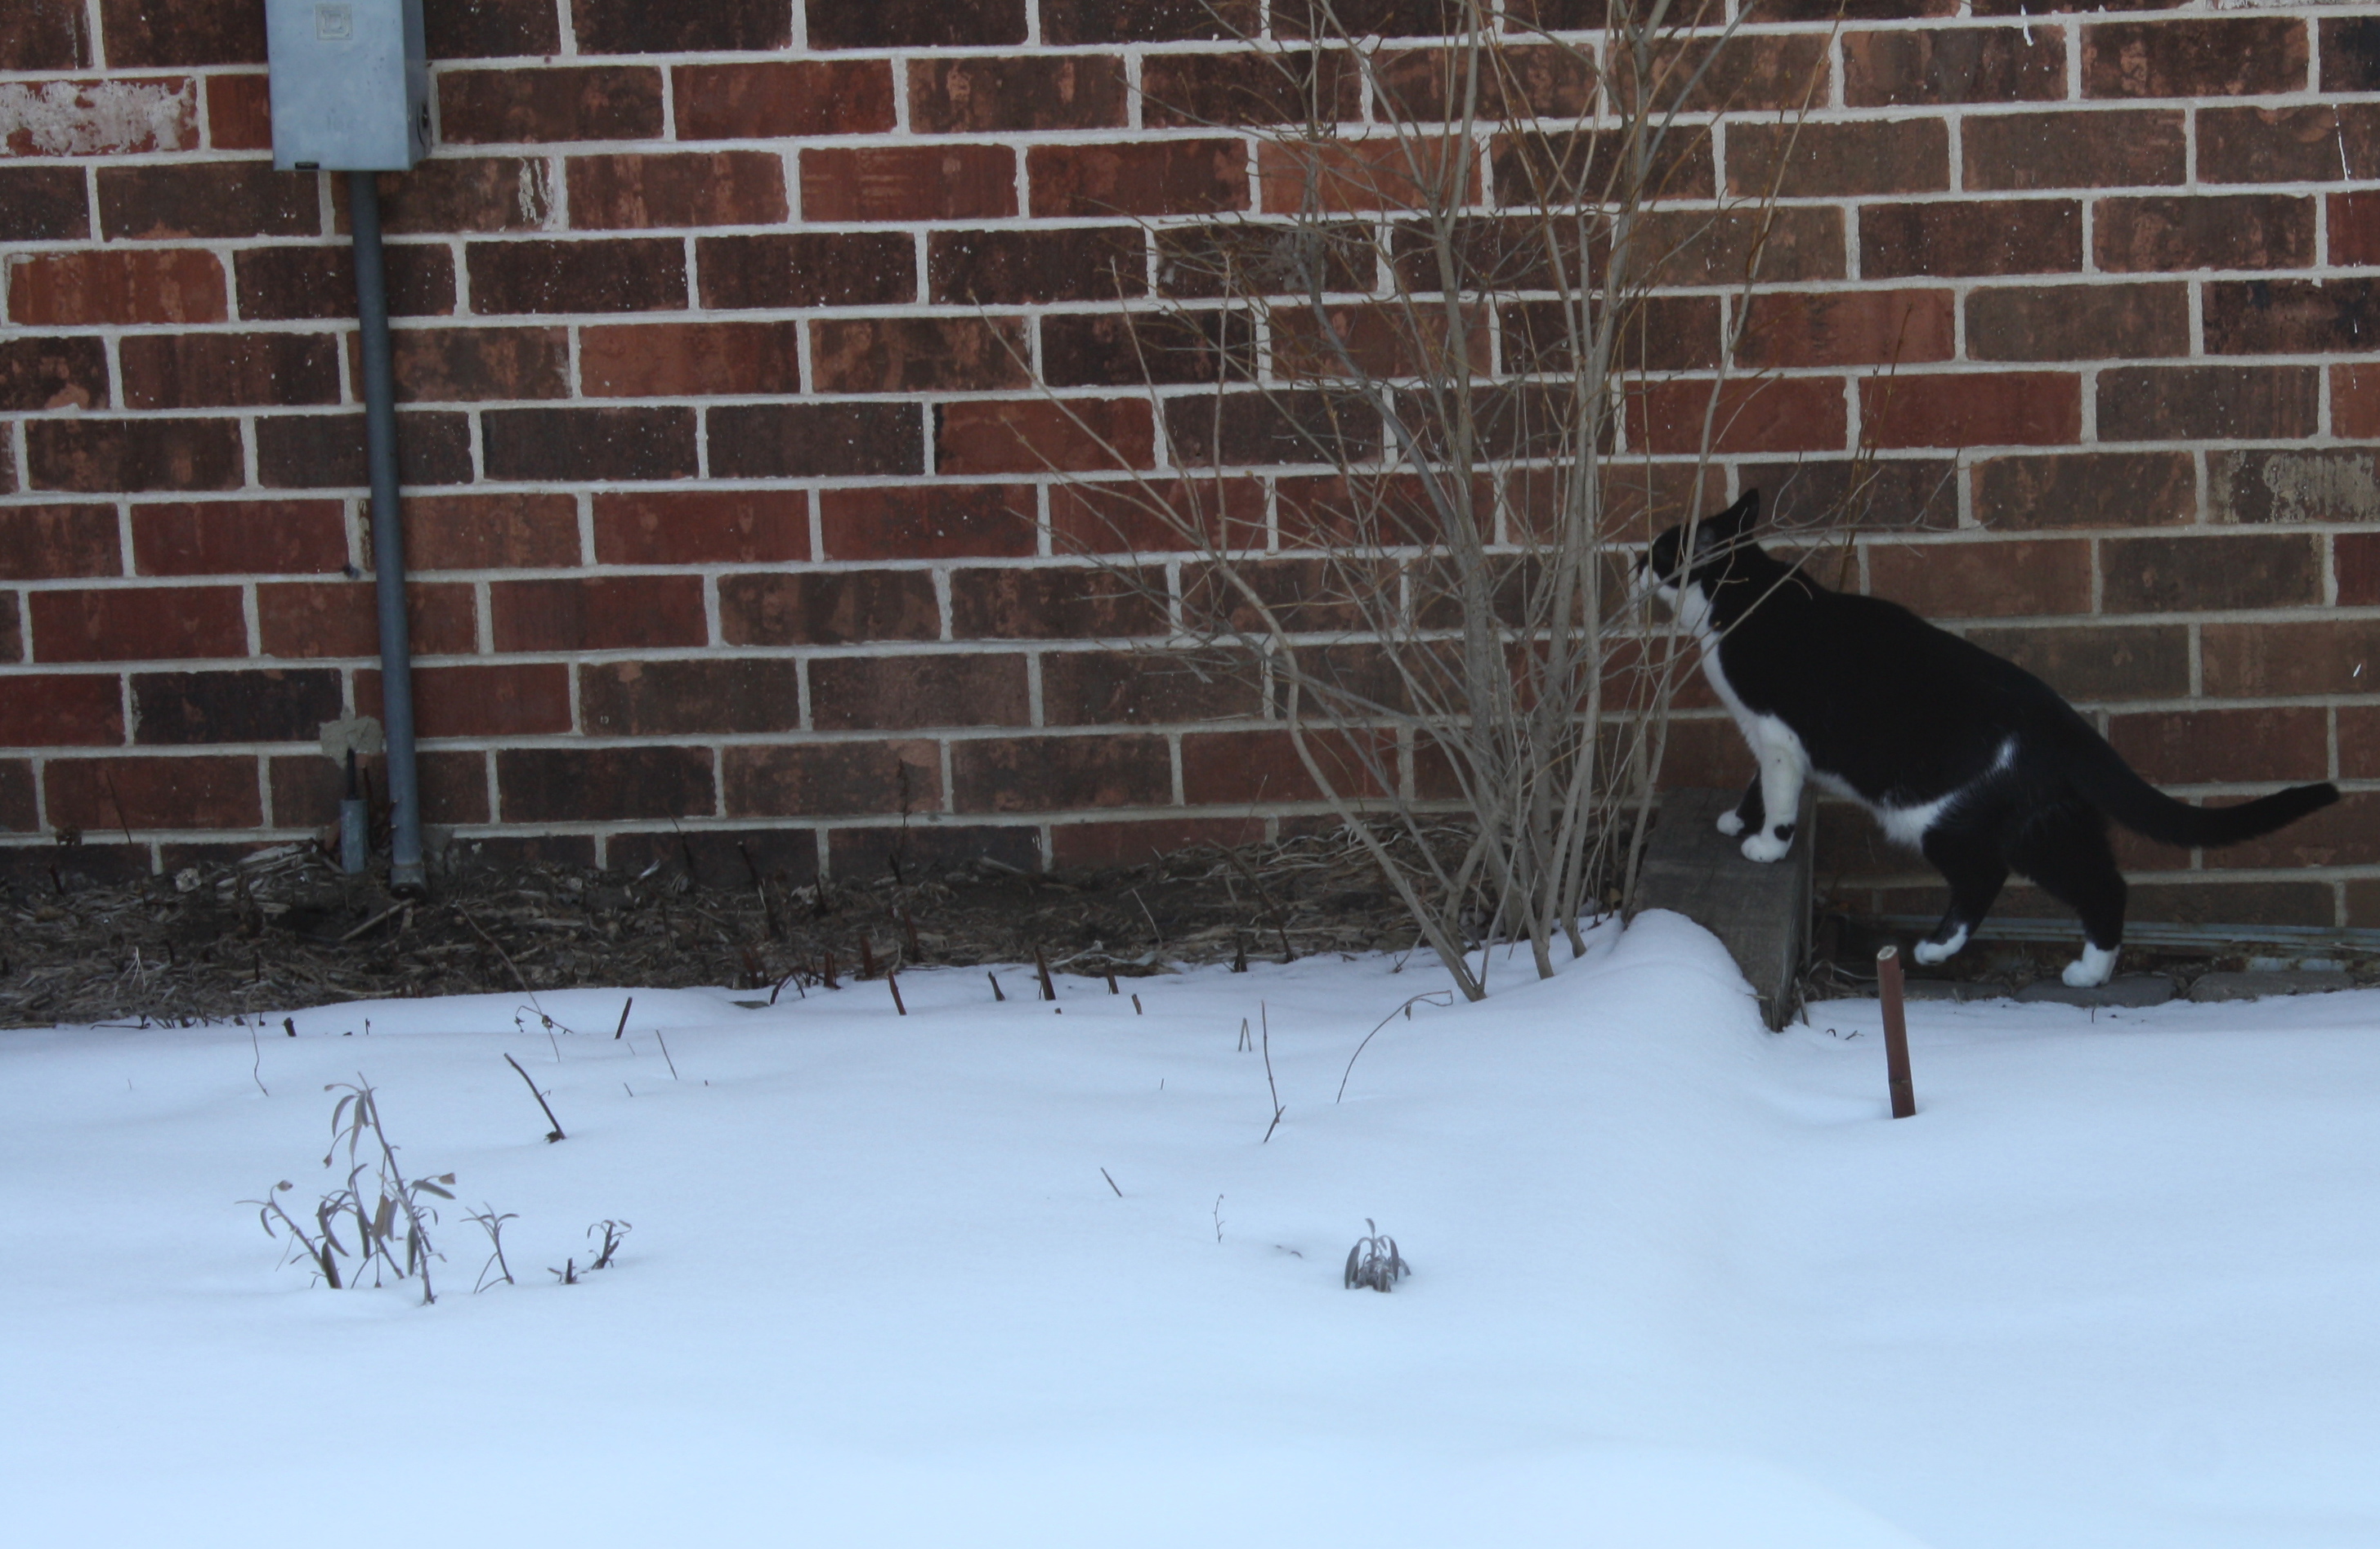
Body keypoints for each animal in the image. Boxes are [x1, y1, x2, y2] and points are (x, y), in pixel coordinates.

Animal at [1636, 488, 2339, 988]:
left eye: (1661, 549)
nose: (1633, 560)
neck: (1740, 595)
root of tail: (2059, 716)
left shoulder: (1778, 733)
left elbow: (1778, 792)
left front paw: (1765, 845)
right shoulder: (1763, 737)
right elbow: (1755, 780)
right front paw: (1735, 819)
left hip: (1934, 814)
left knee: (1984, 874)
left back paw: (1934, 946)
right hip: (2045, 820)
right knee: (2104, 882)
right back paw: (2091, 971)